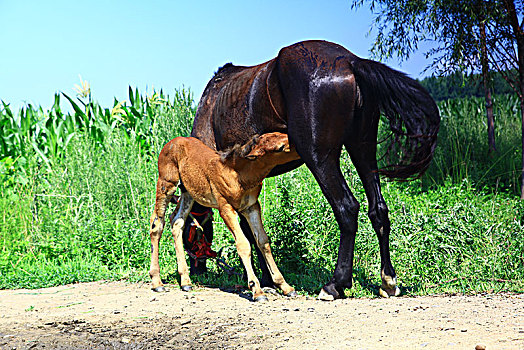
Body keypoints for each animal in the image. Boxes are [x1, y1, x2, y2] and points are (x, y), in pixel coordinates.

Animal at [149, 131, 300, 300]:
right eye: (280, 147)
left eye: (282, 134)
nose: (299, 147)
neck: (239, 174)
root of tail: (172, 142)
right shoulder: (225, 208)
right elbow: (244, 244)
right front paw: (257, 290)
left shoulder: (252, 207)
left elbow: (263, 241)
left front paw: (285, 286)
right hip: (167, 183)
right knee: (157, 224)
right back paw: (157, 282)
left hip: (188, 192)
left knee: (176, 221)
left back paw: (185, 281)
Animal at [190, 40, 440, 298]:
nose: (197, 269)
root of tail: (350, 62)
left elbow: (250, 231)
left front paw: (266, 280)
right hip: (363, 149)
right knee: (378, 209)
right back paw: (388, 281)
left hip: (319, 158)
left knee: (347, 208)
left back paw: (335, 284)